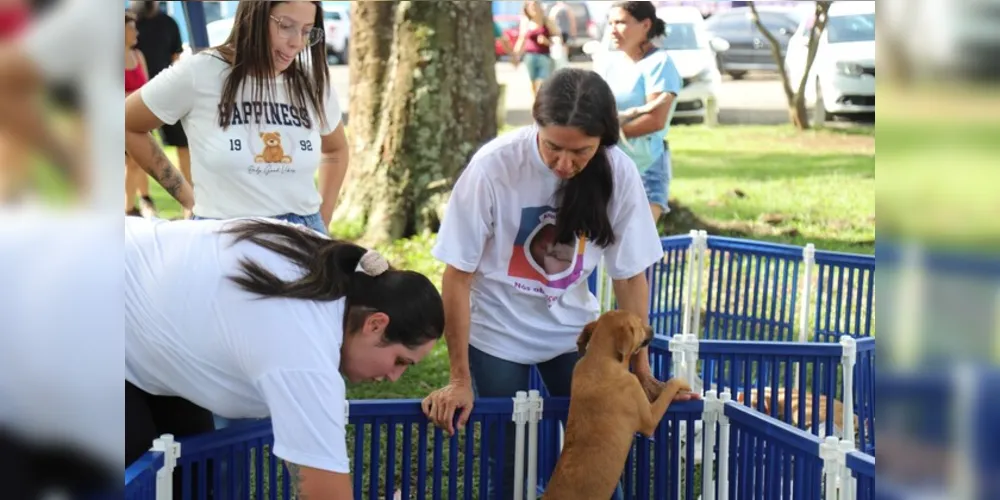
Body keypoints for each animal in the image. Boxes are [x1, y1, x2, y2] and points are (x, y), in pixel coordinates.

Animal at [544, 312, 692, 500]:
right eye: (638, 323)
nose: (652, 327)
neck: (599, 359)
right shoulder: (650, 419)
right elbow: (669, 388)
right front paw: (680, 383)